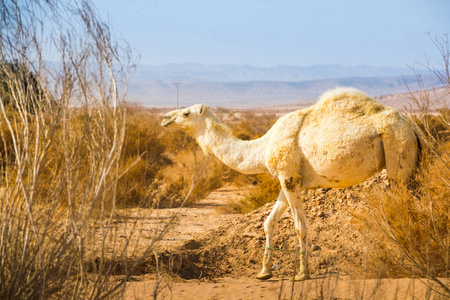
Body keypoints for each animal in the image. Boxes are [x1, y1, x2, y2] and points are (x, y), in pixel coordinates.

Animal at [160, 86, 420, 282]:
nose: (164, 118)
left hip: (398, 157)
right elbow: (268, 222)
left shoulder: (289, 178)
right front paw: (264, 272)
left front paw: (302, 274)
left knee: (403, 210)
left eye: (186, 113)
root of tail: (412, 127)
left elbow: (300, 227)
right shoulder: (288, 180)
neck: (262, 147)